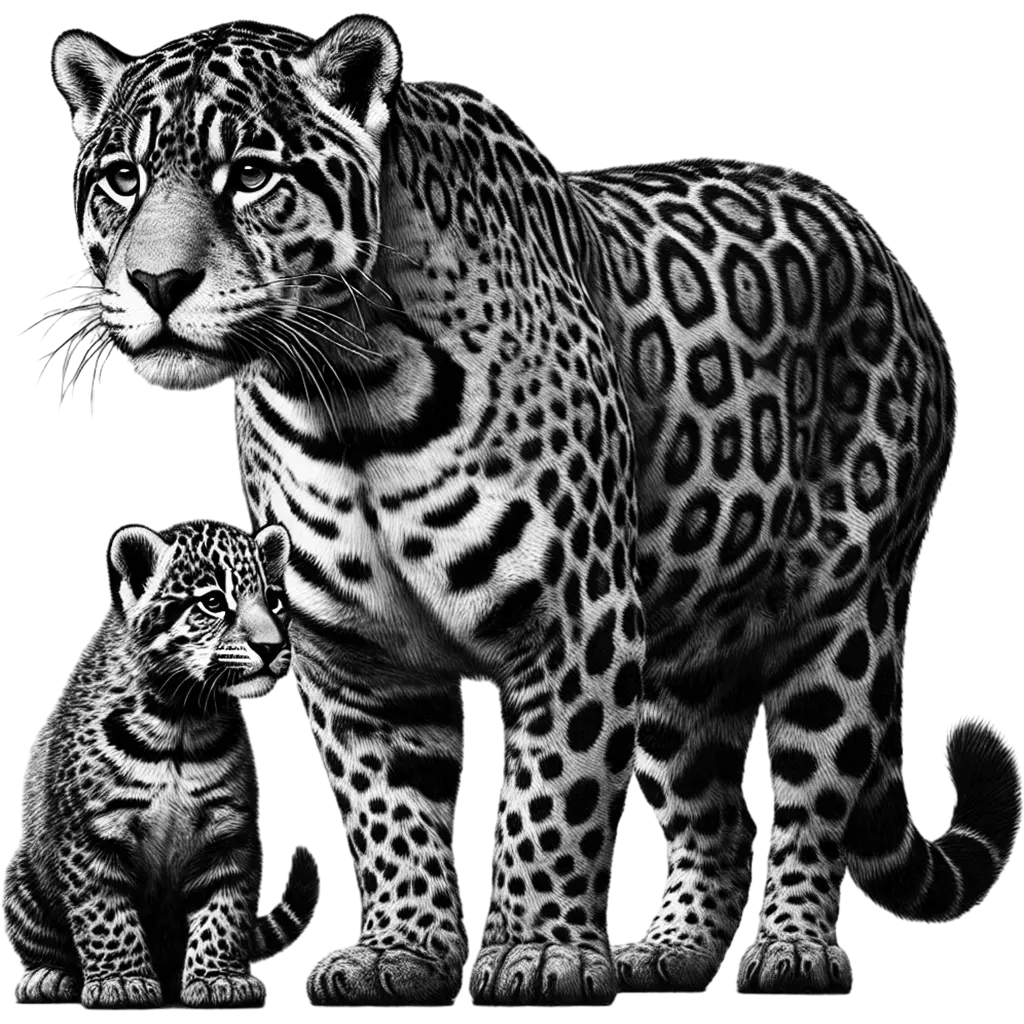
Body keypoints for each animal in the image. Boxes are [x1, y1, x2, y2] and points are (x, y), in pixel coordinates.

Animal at [2, 520, 320, 1009]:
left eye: (275, 601)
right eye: (213, 602)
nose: (272, 647)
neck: (181, 719)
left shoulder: (227, 834)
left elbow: (223, 910)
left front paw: (218, 980)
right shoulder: (91, 836)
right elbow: (105, 914)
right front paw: (121, 982)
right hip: (24, 881)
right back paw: (49, 977)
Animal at [49, 17, 1023, 1006]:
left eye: (250, 173)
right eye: (123, 178)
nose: (157, 283)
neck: (344, 388)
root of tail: (877, 238)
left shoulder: (578, 621)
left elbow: (553, 796)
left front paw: (540, 953)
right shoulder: (357, 654)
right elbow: (388, 812)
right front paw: (402, 951)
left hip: (841, 619)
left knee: (807, 798)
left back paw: (793, 949)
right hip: (684, 648)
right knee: (711, 810)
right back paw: (673, 948)